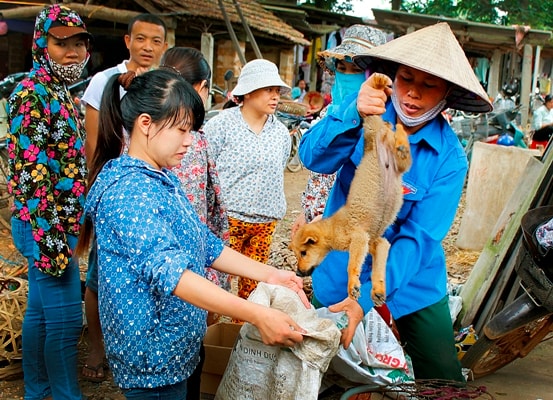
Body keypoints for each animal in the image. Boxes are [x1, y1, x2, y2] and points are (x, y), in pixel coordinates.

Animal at [288, 73, 410, 304]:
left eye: (303, 252)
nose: (298, 272)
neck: (334, 229)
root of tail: (374, 142)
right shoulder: (378, 243)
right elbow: (378, 271)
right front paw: (378, 291)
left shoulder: (359, 238)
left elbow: (351, 266)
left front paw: (353, 286)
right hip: (400, 164)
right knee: (395, 135)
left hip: (378, 136)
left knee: (386, 127)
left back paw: (380, 84)